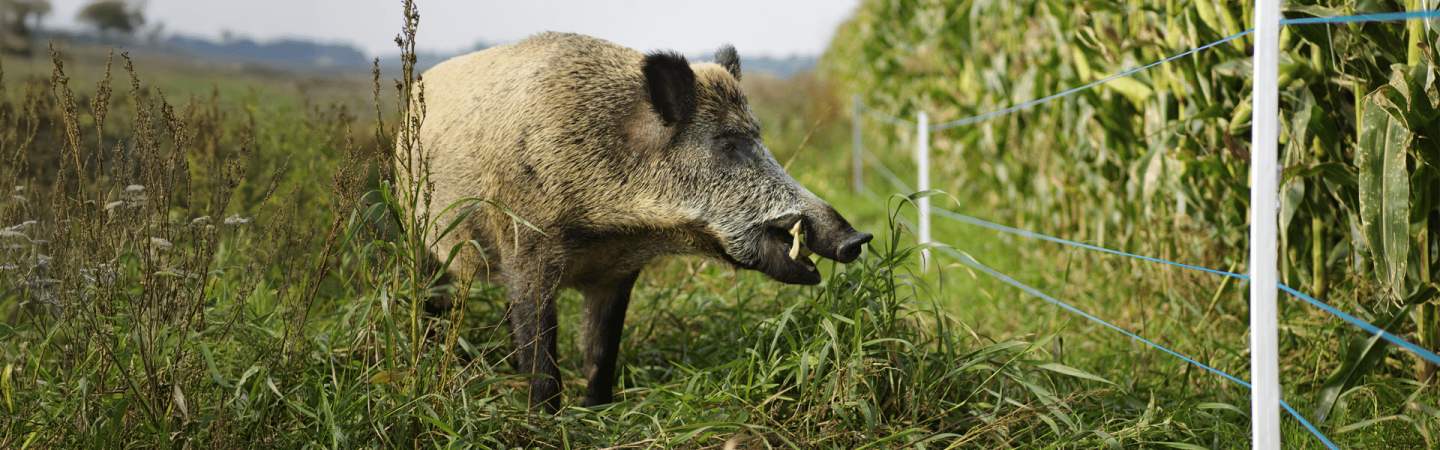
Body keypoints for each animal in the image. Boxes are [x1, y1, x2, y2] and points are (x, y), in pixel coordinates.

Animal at [407, 32, 872, 413]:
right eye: (728, 144)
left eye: (760, 137)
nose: (857, 238)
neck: (611, 227)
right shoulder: (528, 251)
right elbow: (543, 347)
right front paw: (544, 419)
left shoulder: (618, 273)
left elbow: (601, 350)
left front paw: (597, 411)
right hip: (418, 235)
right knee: (435, 298)